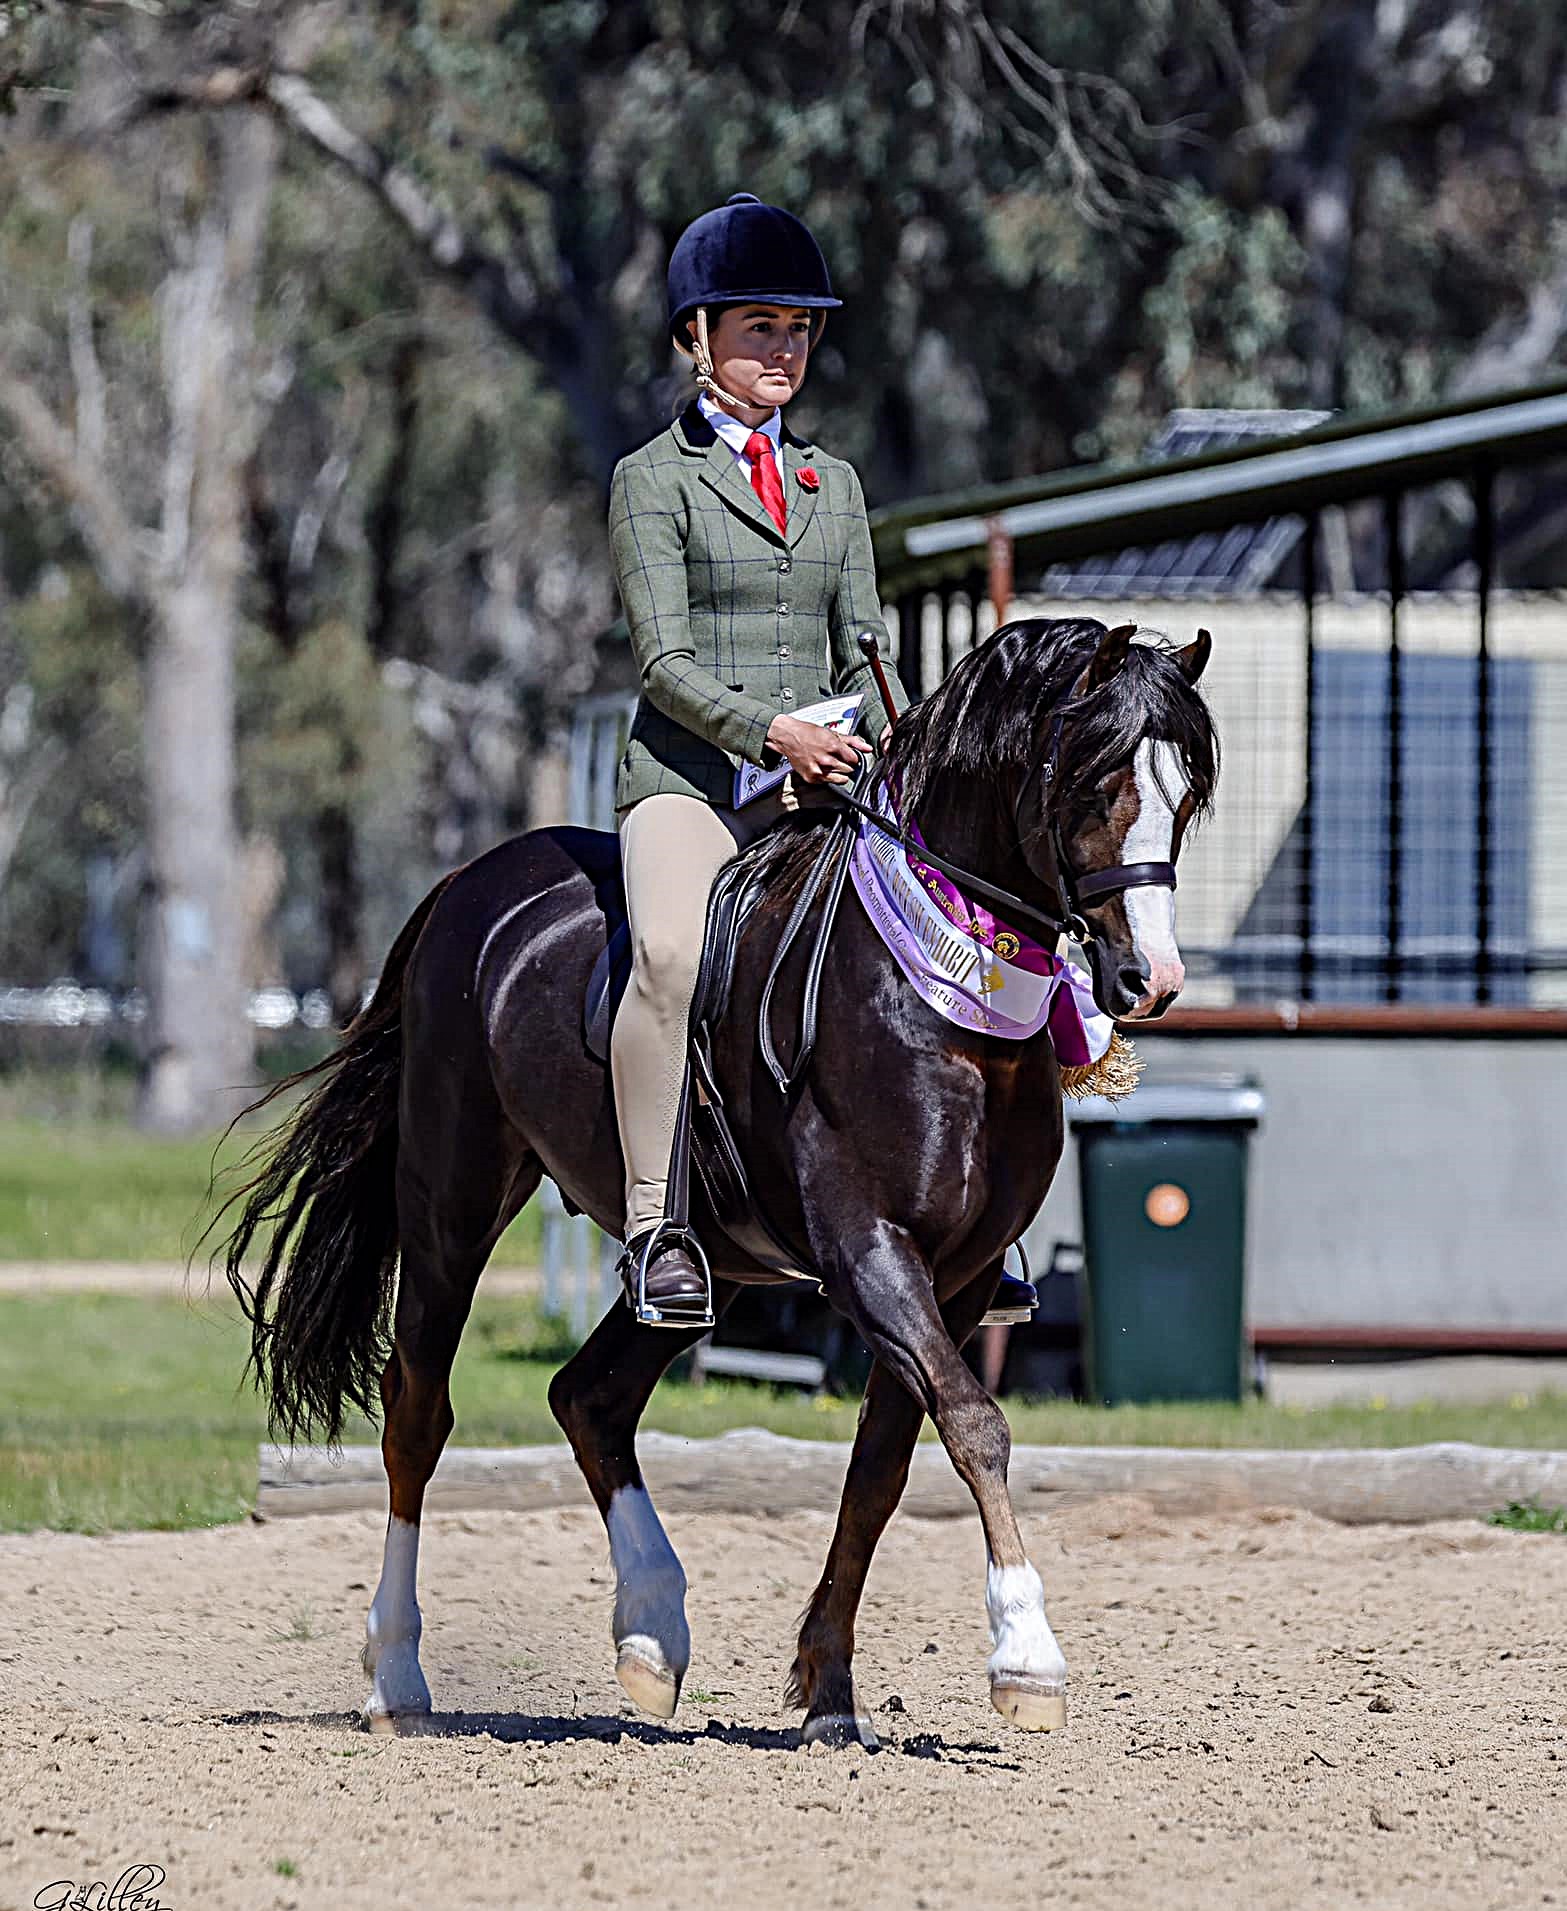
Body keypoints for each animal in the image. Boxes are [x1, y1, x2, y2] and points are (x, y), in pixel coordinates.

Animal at [218, 615, 1217, 1746]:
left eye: (1184, 793)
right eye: (1094, 784)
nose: (1150, 981)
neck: (941, 999)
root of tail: (470, 885)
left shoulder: (956, 1283)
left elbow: (882, 1469)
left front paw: (829, 1693)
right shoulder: (868, 1249)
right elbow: (975, 1427)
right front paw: (1025, 1658)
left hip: (712, 1267)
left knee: (589, 1396)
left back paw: (652, 1638)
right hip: (452, 1202)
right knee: (416, 1417)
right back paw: (398, 1676)